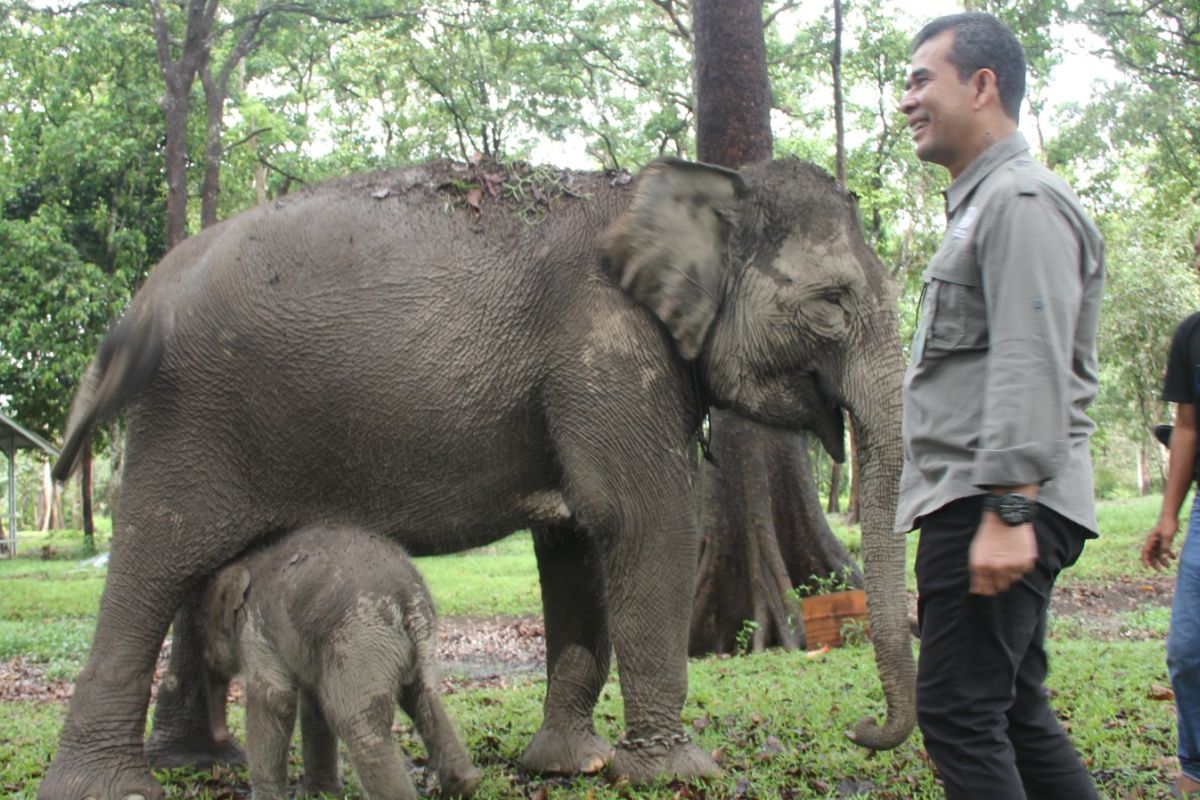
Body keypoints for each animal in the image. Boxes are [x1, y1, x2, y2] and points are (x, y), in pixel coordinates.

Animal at [196, 522, 477, 796]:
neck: (247, 563)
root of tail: (406, 596)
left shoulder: (255, 631)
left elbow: (275, 700)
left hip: (359, 640)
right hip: (415, 638)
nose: (221, 736)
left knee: (354, 721)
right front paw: (320, 793)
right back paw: (462, 783)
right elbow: (314, 704)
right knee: (422, 695)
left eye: (203, 632)